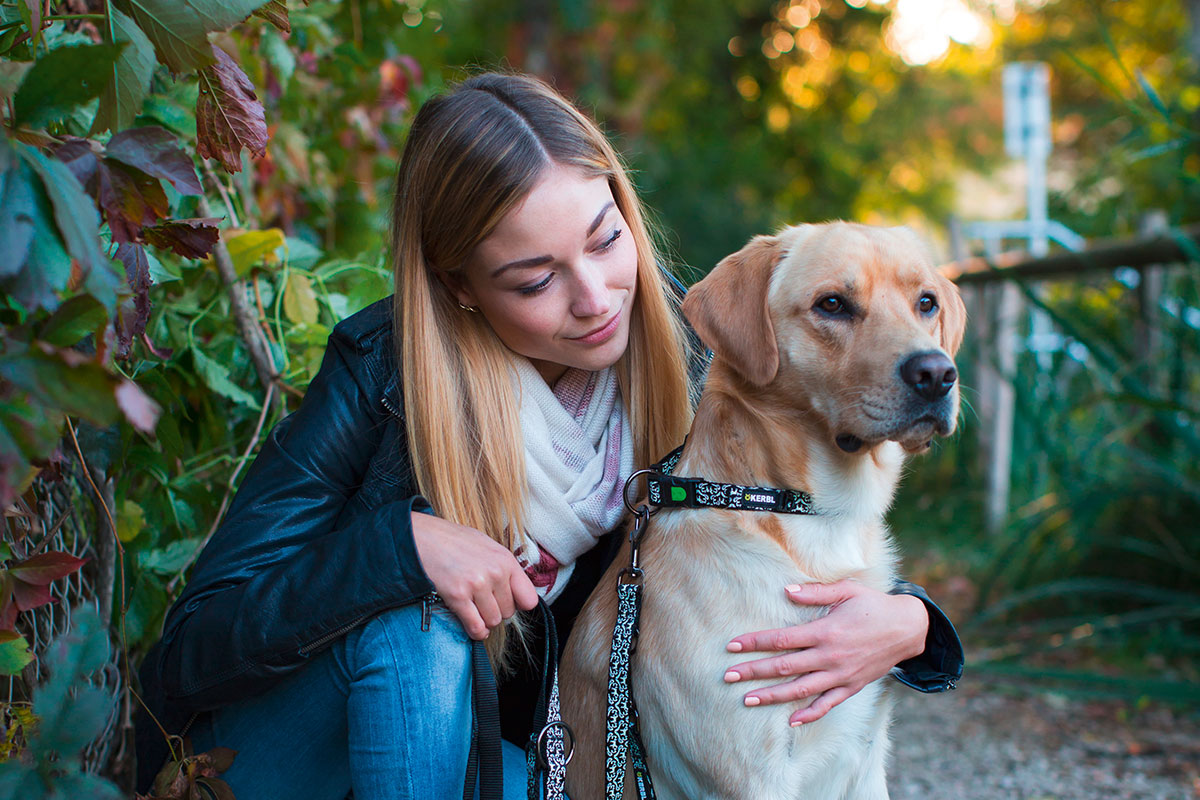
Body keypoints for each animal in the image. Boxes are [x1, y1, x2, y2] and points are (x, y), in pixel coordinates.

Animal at [559, 220, 964, 800]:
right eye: (832, 304)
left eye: (926, 302)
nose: (936, 373)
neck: (799, 513)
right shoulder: (751, 774)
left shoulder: (866, 762)